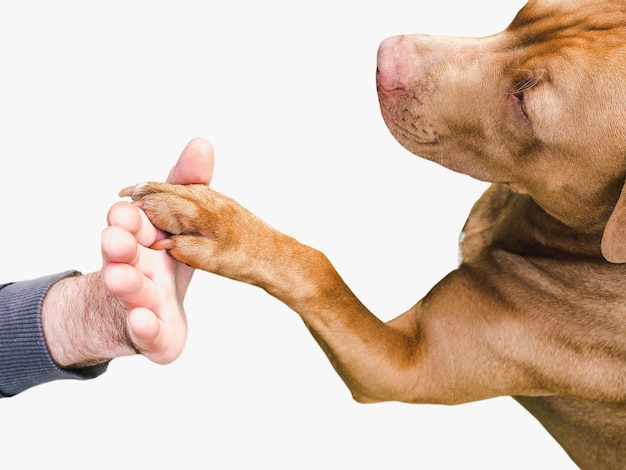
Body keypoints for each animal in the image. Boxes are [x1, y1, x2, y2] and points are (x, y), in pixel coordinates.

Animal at [123, 1, 624, 468]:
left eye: (524, 103)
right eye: (522, 13)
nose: (386, 56)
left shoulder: (404, 365)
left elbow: (318, 269)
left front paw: (222, 226)